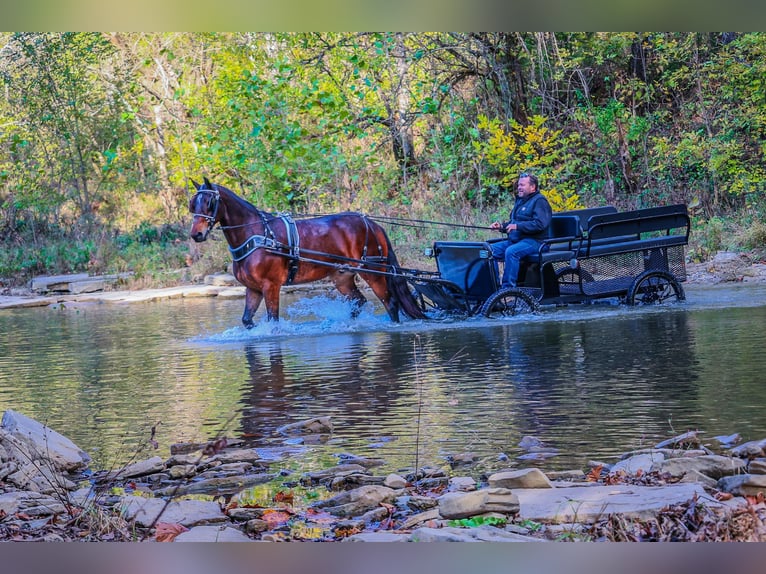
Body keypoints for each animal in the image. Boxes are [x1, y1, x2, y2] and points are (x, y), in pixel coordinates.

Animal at [188, 178, 426, 326]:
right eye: (192, 205)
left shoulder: (270, 286)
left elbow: (273, 320)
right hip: (342, 278)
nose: (196, 234)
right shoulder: (253, 289)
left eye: (209, 202)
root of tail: (372, 224)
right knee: (359, 302)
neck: (256, 235)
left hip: (373, 271)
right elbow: (247, 321)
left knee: (390, 303)